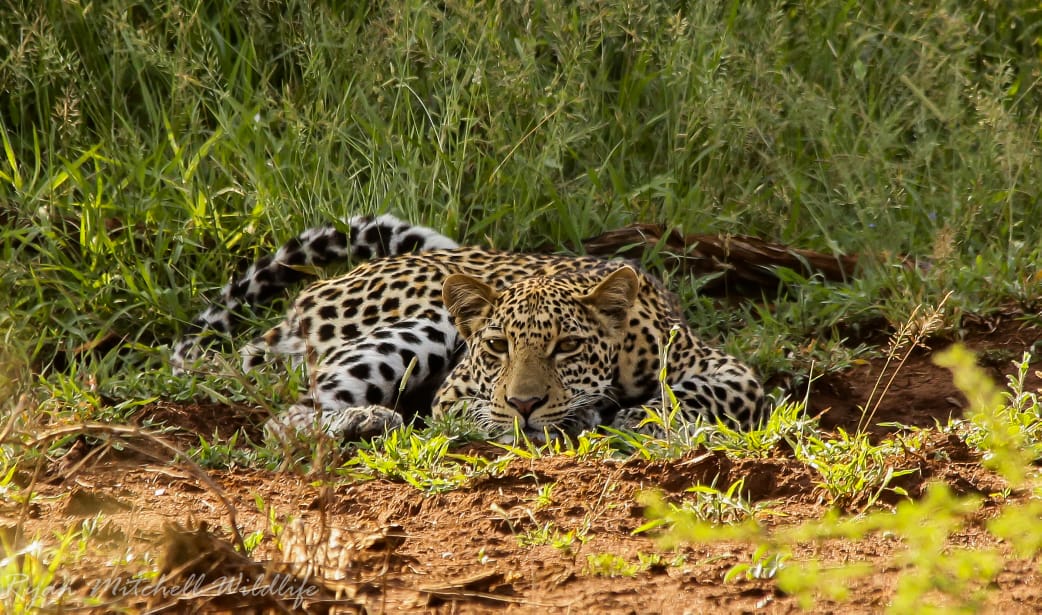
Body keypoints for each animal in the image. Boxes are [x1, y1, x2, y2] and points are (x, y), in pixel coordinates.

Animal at [172, 214, 765, 444]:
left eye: (568, 346)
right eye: (498, 346)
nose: (526, 403)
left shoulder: (731, 374)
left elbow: (692, 392)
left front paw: (639, 415)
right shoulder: (455, 392)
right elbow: (474, 411)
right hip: (425, 324)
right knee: (290, 416)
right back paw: (368, 420)